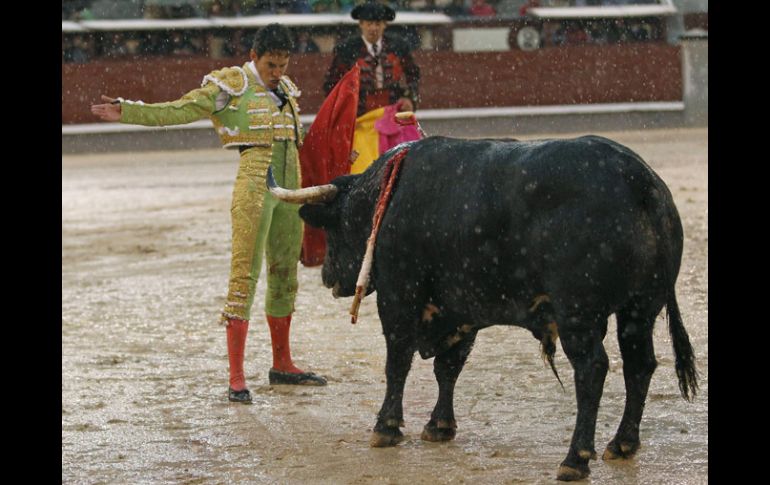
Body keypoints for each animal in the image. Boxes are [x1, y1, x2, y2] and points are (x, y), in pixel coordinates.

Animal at [268, 135, 700, 480]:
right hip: (639, 309)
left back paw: (575, 459)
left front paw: (386, 427)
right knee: (639, 365)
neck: (384, 199)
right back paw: (623, 443)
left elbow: (398, 362)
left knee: (592, 369)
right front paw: (439, 425)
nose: (328, 277)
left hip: (578, 312)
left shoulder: (400, 297)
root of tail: (639, 180)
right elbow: (449, 367)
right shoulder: (463, 308)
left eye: (334, 225)